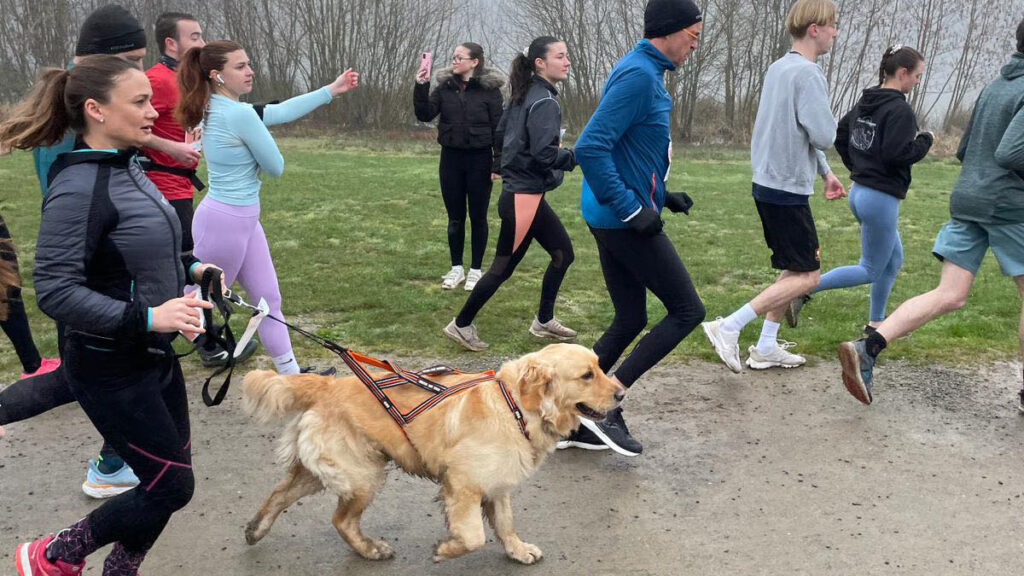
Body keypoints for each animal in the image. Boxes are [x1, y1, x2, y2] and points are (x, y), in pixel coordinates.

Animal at [241, 340, 622, 561]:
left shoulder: (498, 483)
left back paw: (255, 529)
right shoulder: (463, 484)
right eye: (587, 375)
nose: (621, 393)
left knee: (279, 493)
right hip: (364, 473)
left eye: (600, 366)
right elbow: (474, 536)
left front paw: (518, 550)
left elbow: (505, 523)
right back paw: (371, 549)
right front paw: (446, 549)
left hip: (330, 468)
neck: (514, 404)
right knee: (341, 520)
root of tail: (328, 384)